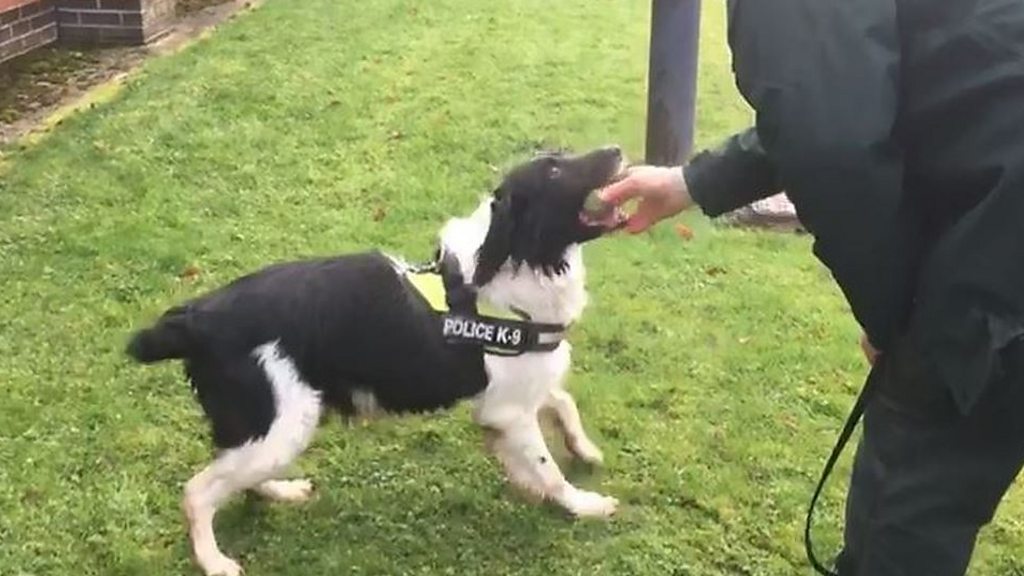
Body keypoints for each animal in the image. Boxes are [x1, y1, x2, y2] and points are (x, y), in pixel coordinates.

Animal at [126, 146, 629, 576]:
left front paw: (583, 449)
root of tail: (198, 316)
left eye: (562, 155)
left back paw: (281, 491)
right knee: (197, 492)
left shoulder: (513, 395)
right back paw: (215, 561)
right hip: (282, 425)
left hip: (269, 429)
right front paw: (584, 504)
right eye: (554, 171)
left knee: (235, 474)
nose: (618, 150)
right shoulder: (509, 410)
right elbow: (549, 470)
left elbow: (562, 404)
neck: (513, 266)